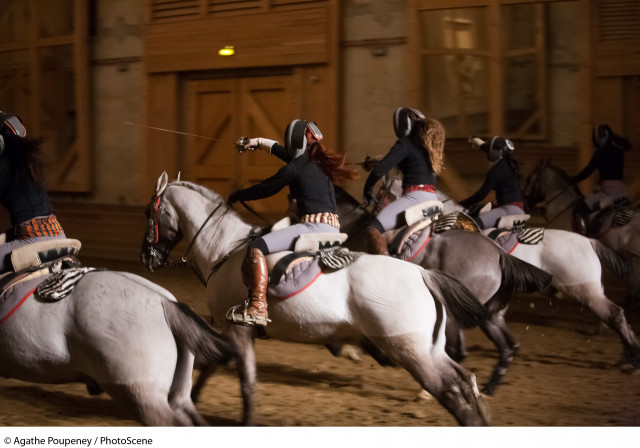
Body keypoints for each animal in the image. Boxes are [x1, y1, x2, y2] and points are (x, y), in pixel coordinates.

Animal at [140, 172, 490, 428]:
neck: (224, 249)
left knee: (450, 391)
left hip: (411, 351)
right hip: (429, 349)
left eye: (149, 212)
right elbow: (211, 367)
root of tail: (422, 274)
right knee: (466, 380)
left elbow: (246, 384)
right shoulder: (231, 330)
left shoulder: (239, 330)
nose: (147, 258)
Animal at [336, 184, 552, 394]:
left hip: (453, 311)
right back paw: (488, 387)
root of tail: (500, 254)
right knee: (508, 348)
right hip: (491, 316)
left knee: (458, 351)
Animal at [438, 189, 640, 372]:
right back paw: (627, 358)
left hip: (587, 292)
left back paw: (631, 360)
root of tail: (589, 242)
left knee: (614, 315)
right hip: (593, 292)